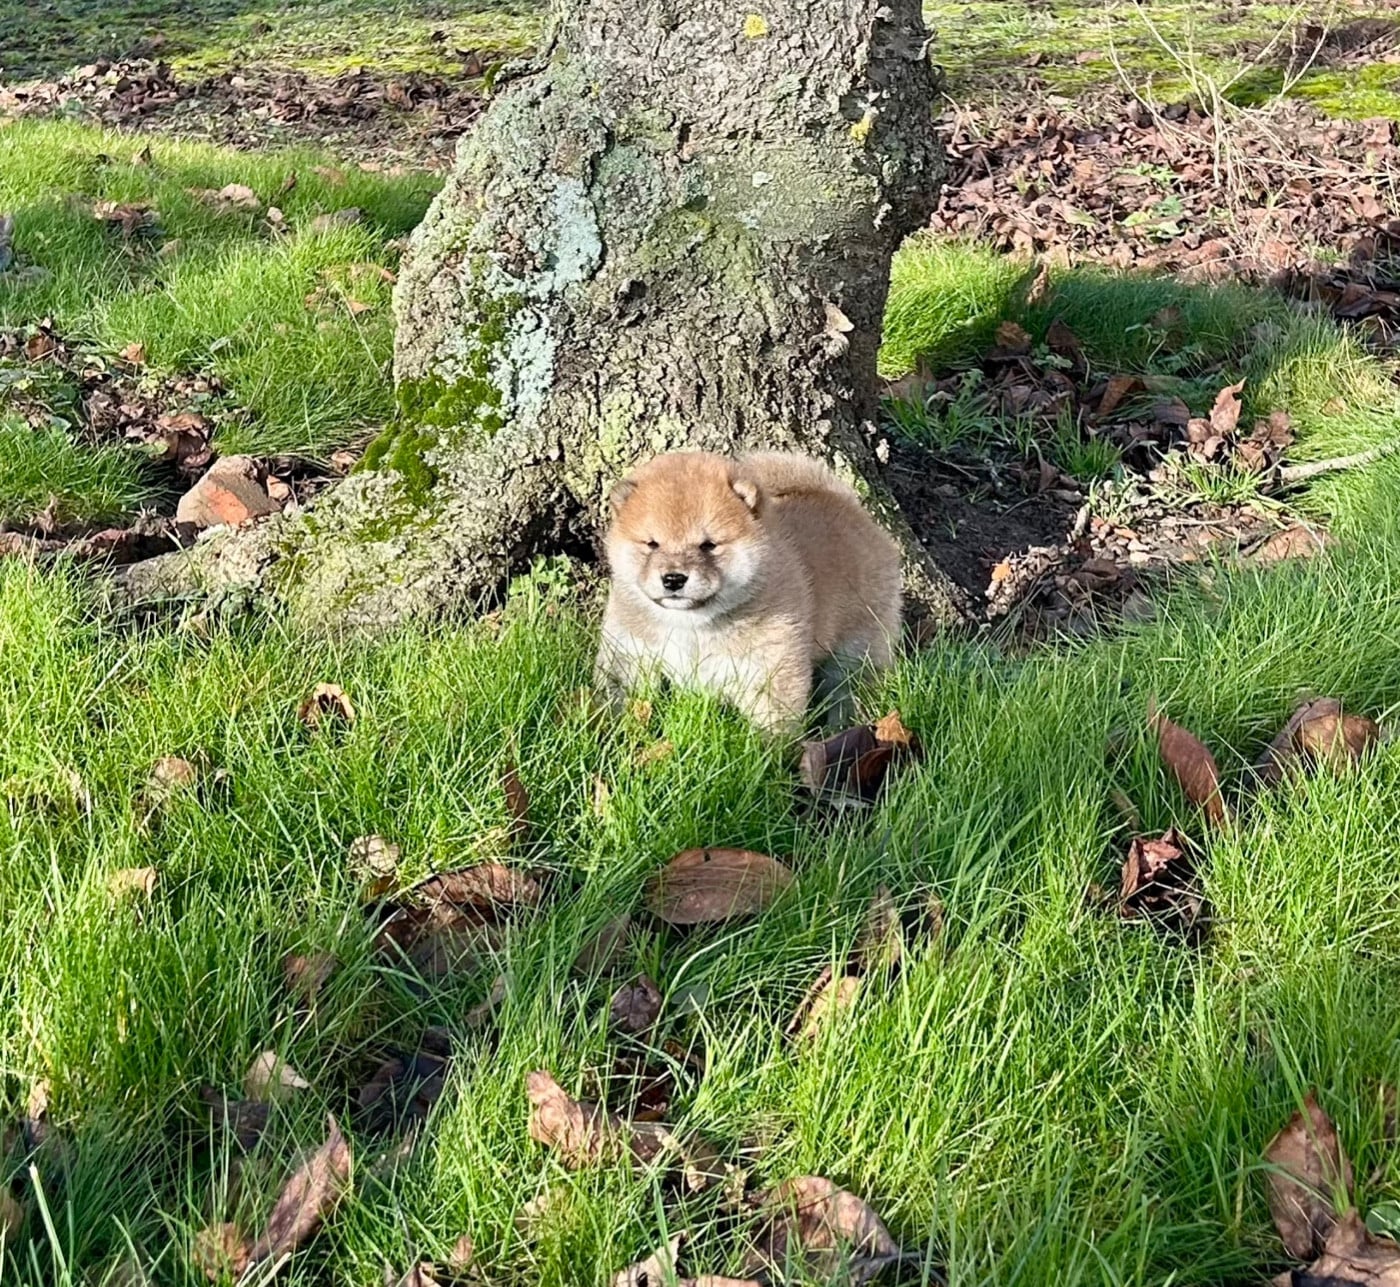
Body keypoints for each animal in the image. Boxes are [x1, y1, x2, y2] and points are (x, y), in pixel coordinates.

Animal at [594, 450, 901, 734]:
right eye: (652, 544)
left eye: (709, 545)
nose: (673, 578)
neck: (691, 626)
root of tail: (845, 503)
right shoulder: (630, 651)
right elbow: (619, 698)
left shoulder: (771, 666)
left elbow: (773, 724)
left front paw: (770, 754)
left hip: (858, 649)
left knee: (851, 689)